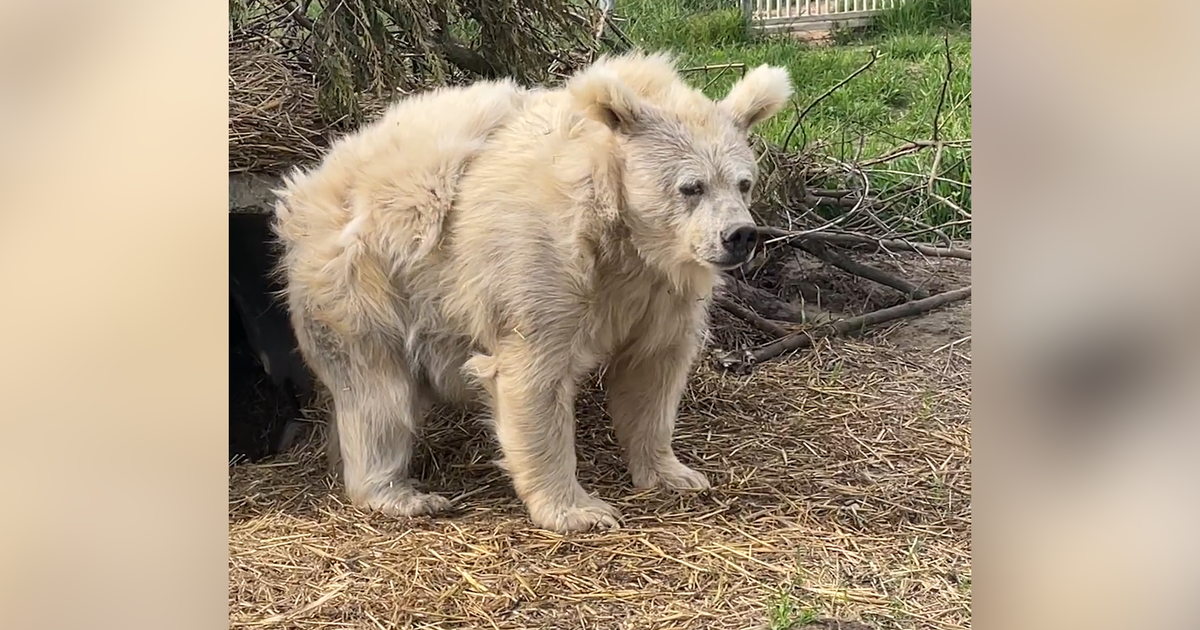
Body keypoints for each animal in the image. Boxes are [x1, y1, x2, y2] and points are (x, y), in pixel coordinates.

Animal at [272, 51, 796, 530]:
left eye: (744, 182)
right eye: (691, 186)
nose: (740, 236)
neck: (621, 236)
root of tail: (309, 183)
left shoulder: (659, 291)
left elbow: (654, 371)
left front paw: (675, 473)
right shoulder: (542, 265)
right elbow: (533, 378)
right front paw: (580, 510)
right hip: (363, 282)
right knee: (377, 394)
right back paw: (401, 494)